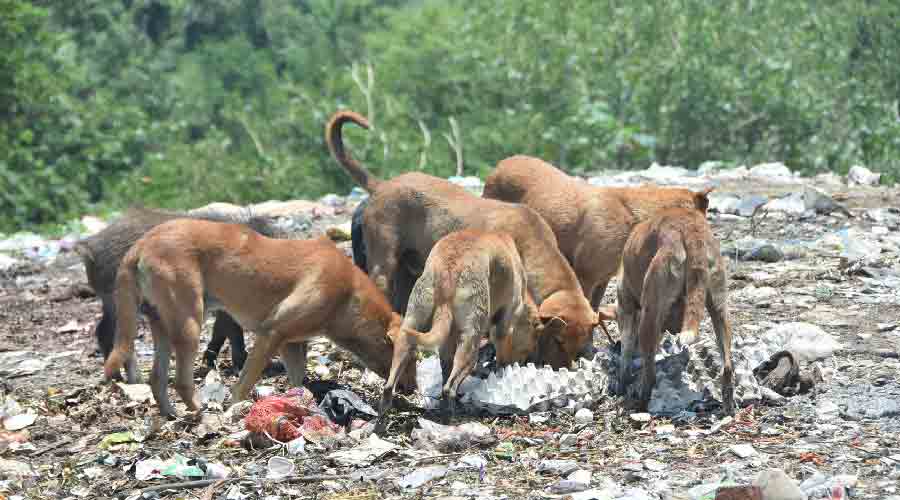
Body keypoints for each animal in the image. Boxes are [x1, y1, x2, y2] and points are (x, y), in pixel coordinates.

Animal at [103, 221, 416, 416]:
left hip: (163, 328)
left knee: (157, 379)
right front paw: (236, 411)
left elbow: (298, 381)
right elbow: (243, 386)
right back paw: (201, 415)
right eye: (411, 360)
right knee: (180, 381)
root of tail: (141, 243)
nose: (413, 389)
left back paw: (171, 414)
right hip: (189, 324)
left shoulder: (291, 344)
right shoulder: (271, 334)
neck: (348, 293)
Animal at [326, 110, 604, 368]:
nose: (560, 368)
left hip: (408, 274)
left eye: (578, 344)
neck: (531, 242)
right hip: (384, 268)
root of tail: (382, 186)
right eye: (558, 340)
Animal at [376, 229, 544, 428]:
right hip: (471, 344)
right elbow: (501, 353)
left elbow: (445, 367)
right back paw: (451, 417)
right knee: (450, 387)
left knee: (392, 381)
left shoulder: (447, 343)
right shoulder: (503, 323)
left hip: (412, 321)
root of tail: (447, 274)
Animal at [616, 207, 736, 414]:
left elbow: (626, 351)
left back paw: (640, 404)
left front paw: (623, 381)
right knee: (727, 366)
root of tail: (691, 230)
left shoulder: (629, 310)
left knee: (650, 375)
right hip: (719, 309)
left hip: (650, 314)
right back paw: (728, 406)